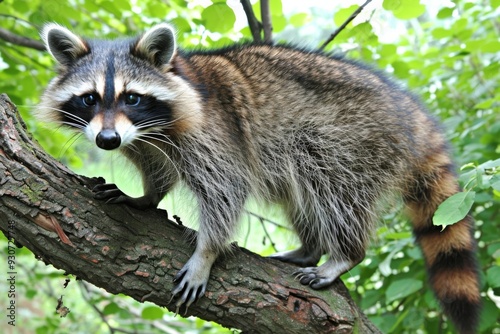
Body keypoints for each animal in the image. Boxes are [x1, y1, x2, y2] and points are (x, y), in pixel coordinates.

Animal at [38, 24, 480, 334]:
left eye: (131, 97)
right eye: (90, 98)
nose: (107, 140)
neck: (152, 128)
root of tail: (410, 111)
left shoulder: (214, 131)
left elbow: (226, 189)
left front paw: (206, 253)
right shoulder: (145, 143)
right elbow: (157, 169)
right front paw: (146, 196)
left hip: (353, 140)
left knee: (332, 188)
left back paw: (343, 253)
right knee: (301, 195)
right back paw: (310, 247)